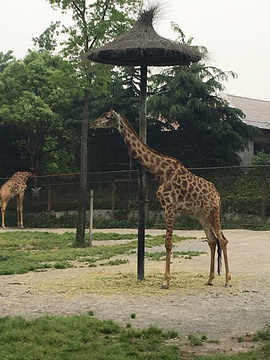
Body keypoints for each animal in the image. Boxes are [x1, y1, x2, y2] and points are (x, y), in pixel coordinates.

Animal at [89, 108, 231, 288]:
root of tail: (217, 195)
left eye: (107, 117)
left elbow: (168, 243)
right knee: (212, 240)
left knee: (223, 239)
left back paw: (227, 280)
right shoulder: (167, 207)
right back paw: (210, 278)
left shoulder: (170, 206)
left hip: (212, 211)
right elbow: (170, 243)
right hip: (200, 214)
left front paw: (165, 280)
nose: (92, 124)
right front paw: (166, 279)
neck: (159, 171)